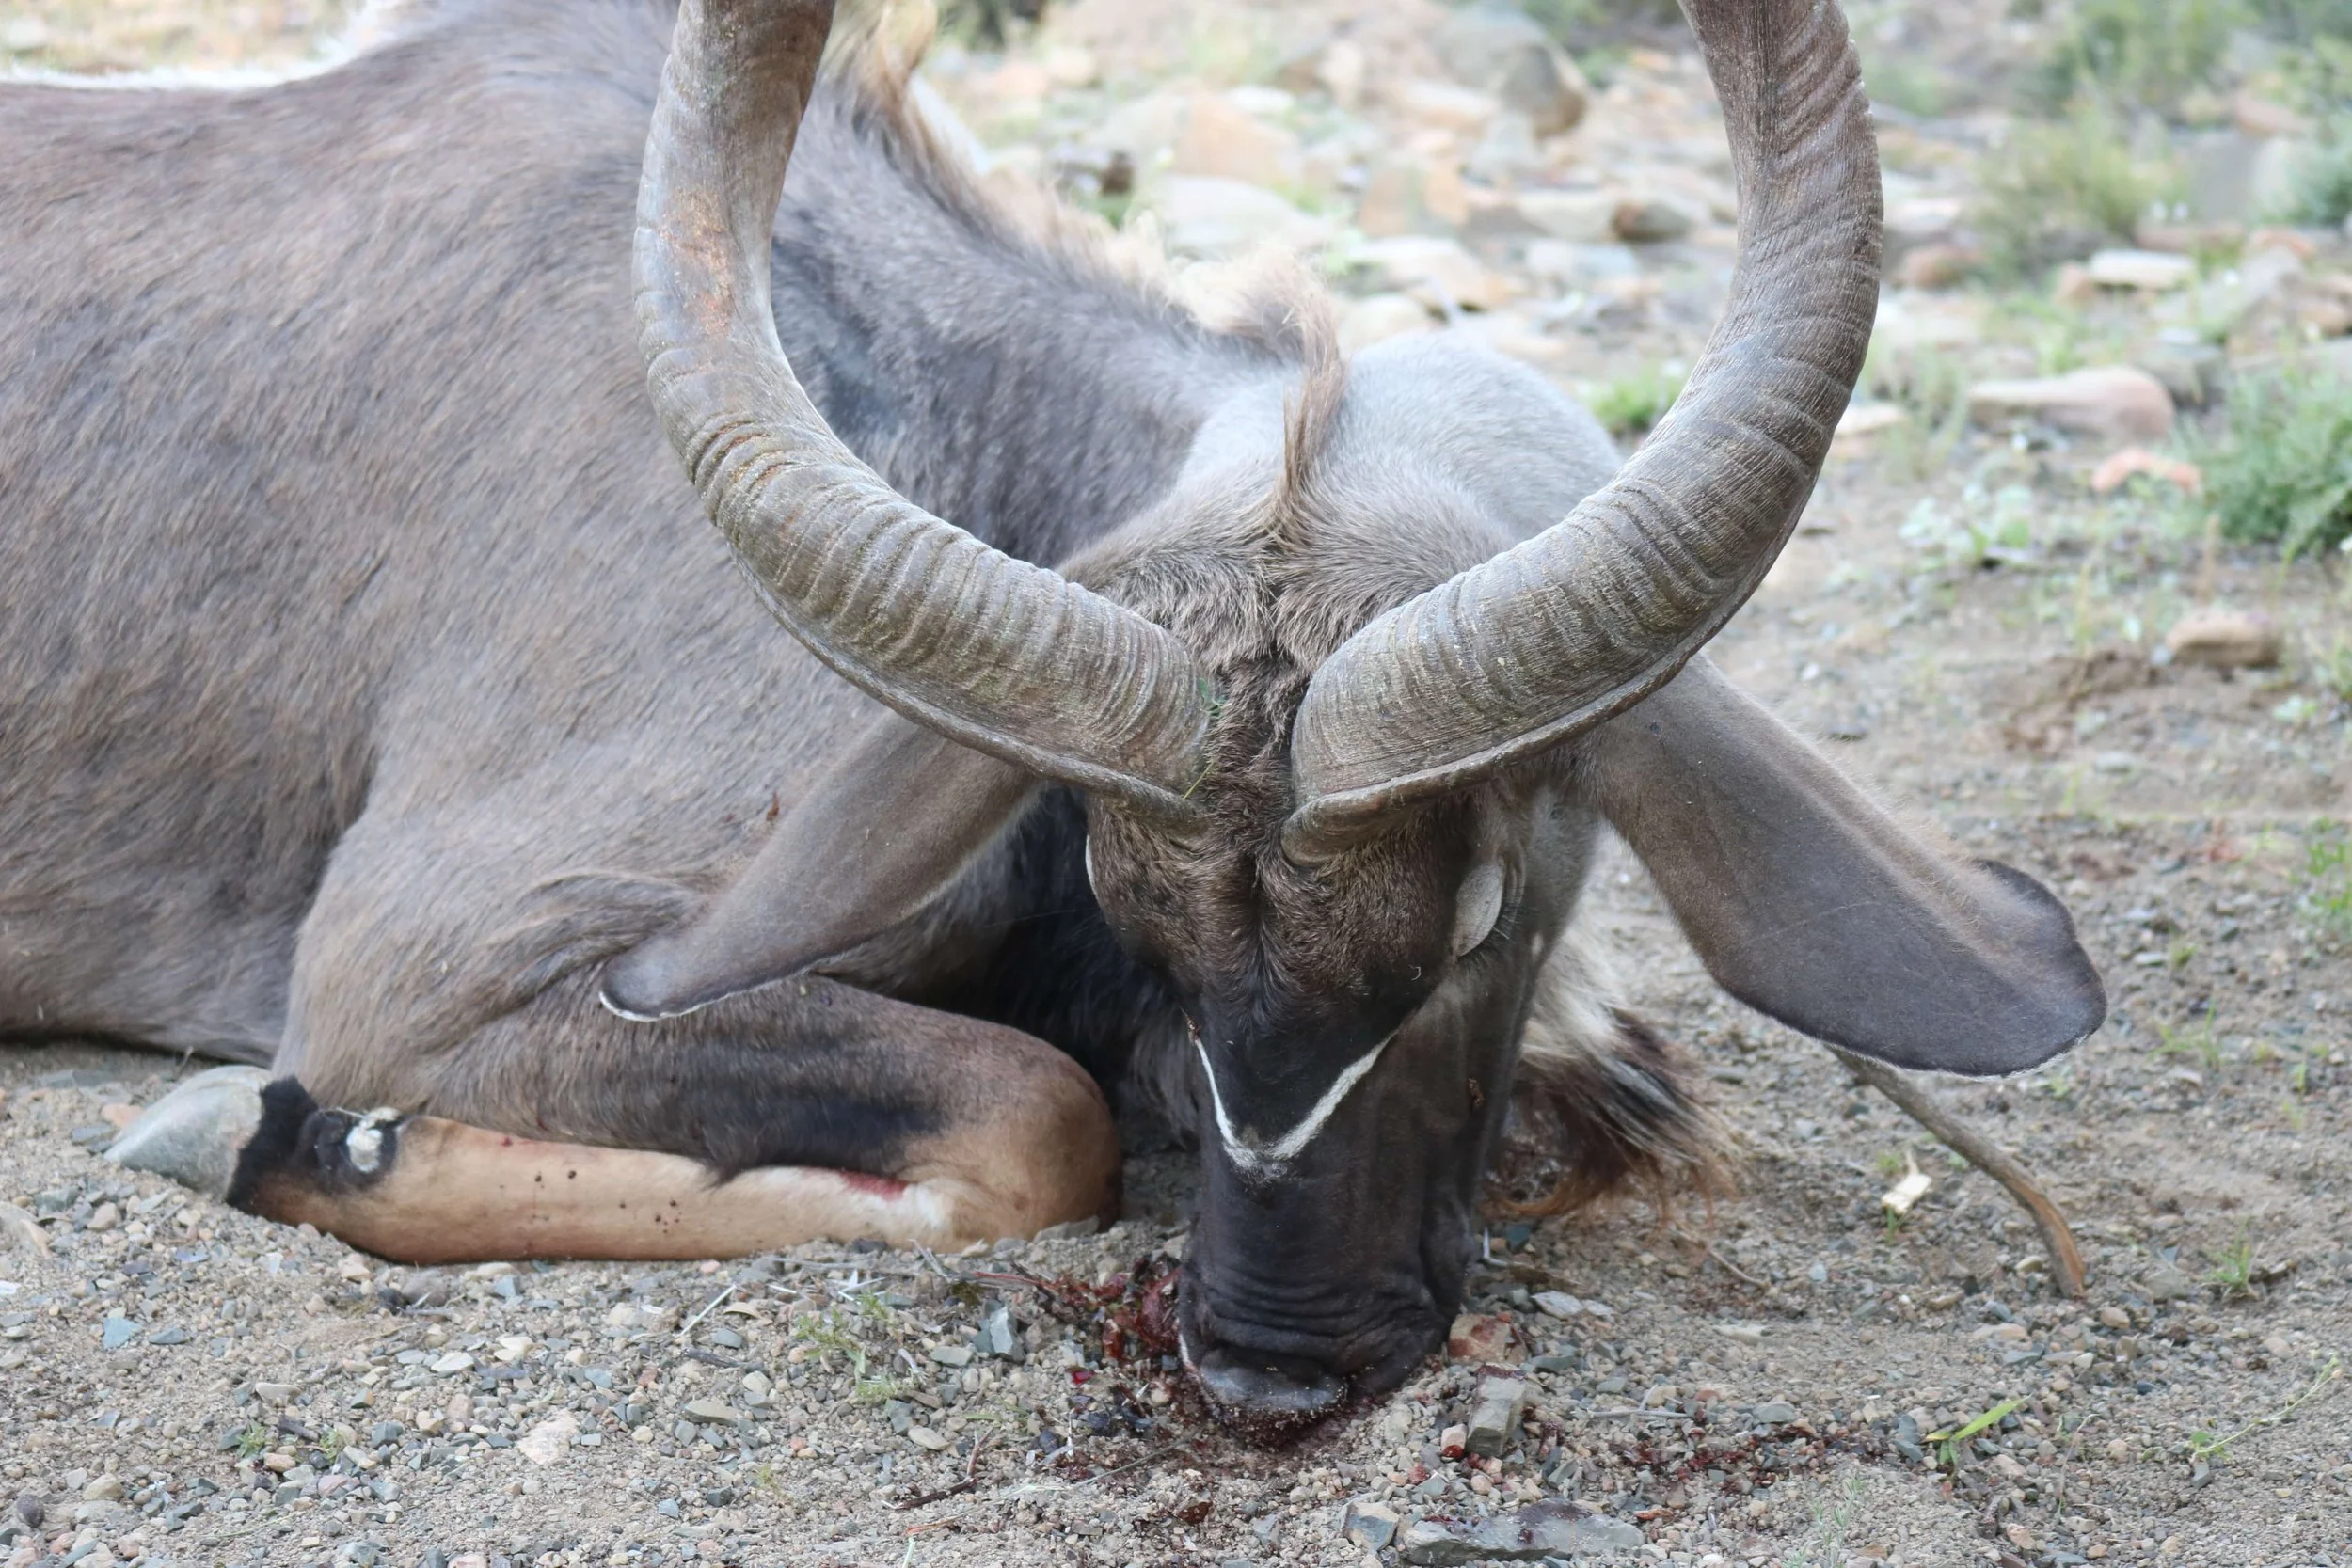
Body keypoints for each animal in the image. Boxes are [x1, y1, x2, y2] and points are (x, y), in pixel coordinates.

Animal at [0, 0, 2103, 1429]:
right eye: (1132, 909)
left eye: (1485, 921)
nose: (1270, 1368)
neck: (947, 407)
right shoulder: (414, 975)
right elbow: (1038, 1116)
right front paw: (260, 1130)